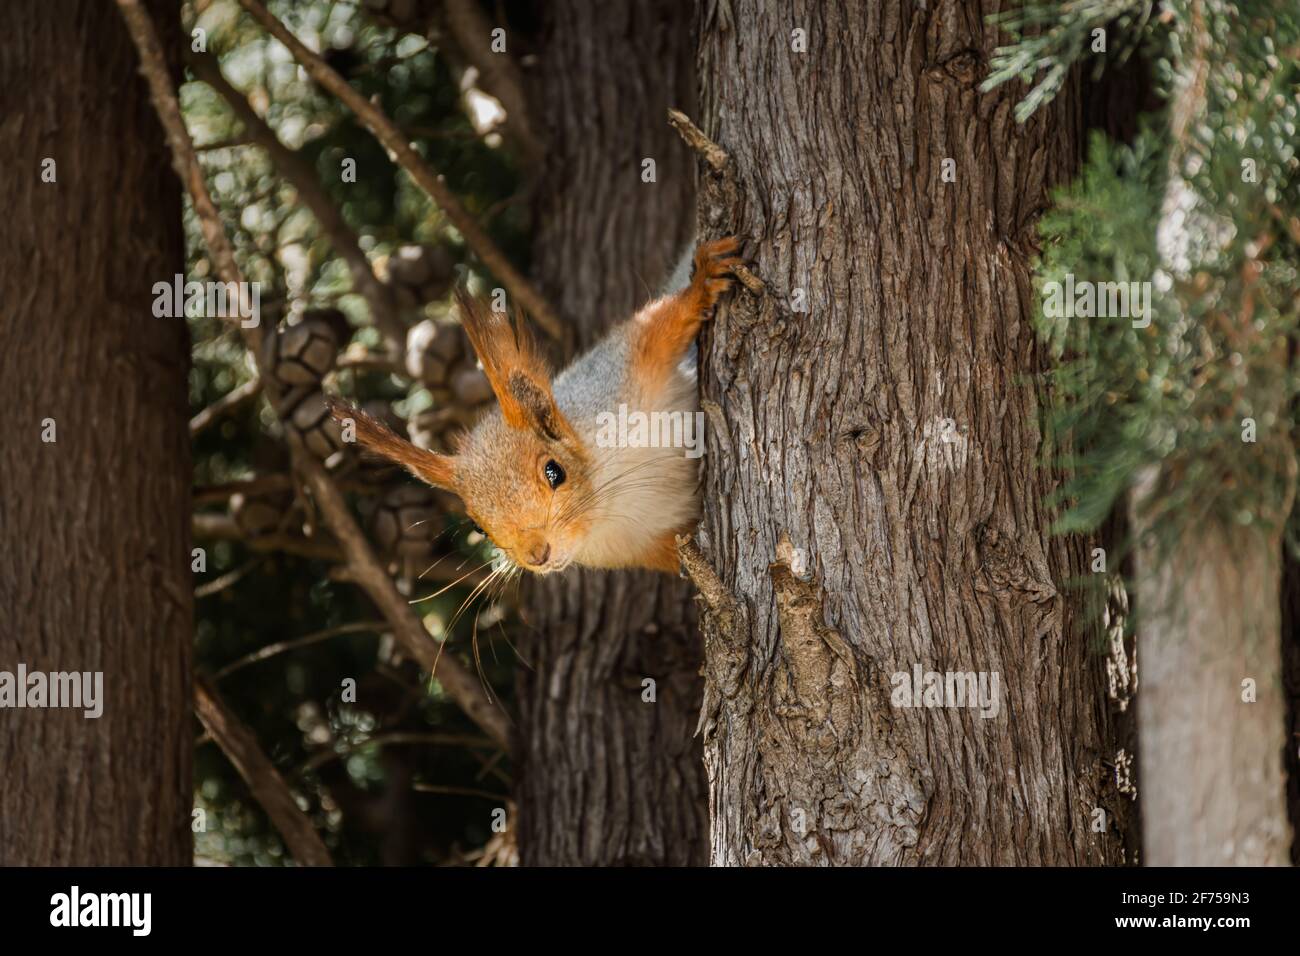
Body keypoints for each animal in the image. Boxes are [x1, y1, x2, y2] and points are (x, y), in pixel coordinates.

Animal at [330, 237, 742, 574]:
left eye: (554, 471)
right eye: (478, 525)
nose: (536, 554)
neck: (609, 498)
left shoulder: (623, 375)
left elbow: (658, 329)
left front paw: (703, 283)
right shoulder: (647, 546)